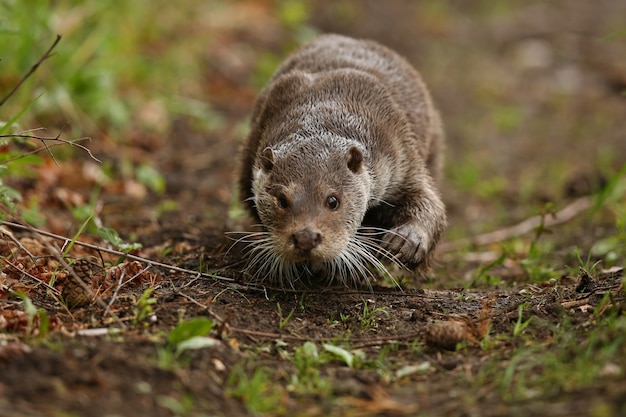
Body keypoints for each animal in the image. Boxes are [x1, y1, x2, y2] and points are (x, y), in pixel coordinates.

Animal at [236, 34, 446, 288]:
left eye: (333, 201)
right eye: (282, 200)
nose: (306, 238)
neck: (325, 106)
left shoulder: (401, 154)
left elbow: (428, 199)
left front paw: (408, 240)